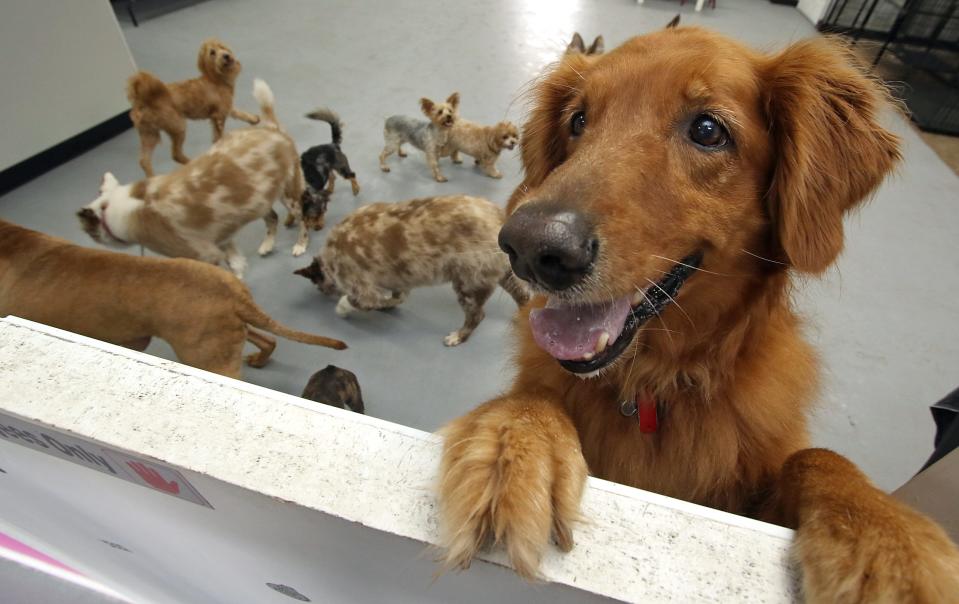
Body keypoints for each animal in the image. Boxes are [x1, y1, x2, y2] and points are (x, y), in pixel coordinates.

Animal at [81, 78, 312, 278]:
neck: (134, 206)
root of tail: (271, 127)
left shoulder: (203, 254)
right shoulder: (221, 242)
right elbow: (236, 265)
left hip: (289, 194)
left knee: (303, 218)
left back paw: (300, 245)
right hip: (261, 199)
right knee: (272, 218)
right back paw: (267, 244)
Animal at [129, 38, 262, 177]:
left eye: (222, 47)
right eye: (212, 53)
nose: (226, 56)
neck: (215, 78)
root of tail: (142, 100)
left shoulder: (224, 109)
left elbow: (239, 113)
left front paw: (253, 119)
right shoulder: (219, 116)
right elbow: (220, 135)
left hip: (149, 134)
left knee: (144, 160)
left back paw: (152, 178)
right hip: (178, 126)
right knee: (176, 154)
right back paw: (191, 164)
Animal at [294, 193, 528, 344]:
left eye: (318, 286)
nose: (323, 293)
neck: (330, 254)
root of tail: (499, 218)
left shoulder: (363, 293)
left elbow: (351, 302)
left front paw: (342, 309)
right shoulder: (400, 285)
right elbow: (394, 299)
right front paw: (387, 306)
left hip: (468, 286)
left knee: (477, 316)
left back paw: (458, 337)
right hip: (504, 275)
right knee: (523, 295)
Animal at [436, 21, 959, 600]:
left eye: (708, 130)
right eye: (578, 120)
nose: (530, 248)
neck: (651, 386)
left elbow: (817, 458)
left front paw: (886, 541)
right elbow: (533, 397)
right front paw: (513, 449)